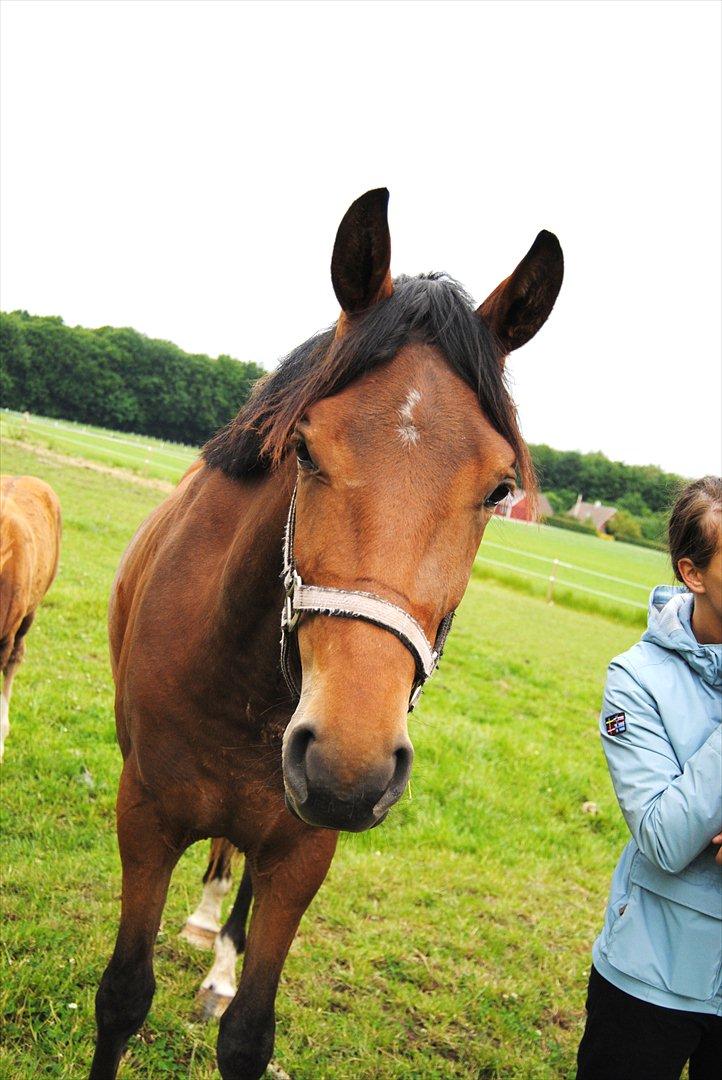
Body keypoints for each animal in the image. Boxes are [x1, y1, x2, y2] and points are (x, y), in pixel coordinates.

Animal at [90, 190, 561, 1075]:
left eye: (499, 489)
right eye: (304, 448)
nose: (349, 765)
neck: (240, 678)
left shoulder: (305, 851)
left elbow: (249, 1033)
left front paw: (229, 986)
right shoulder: (146, 816)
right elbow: (122, 996)